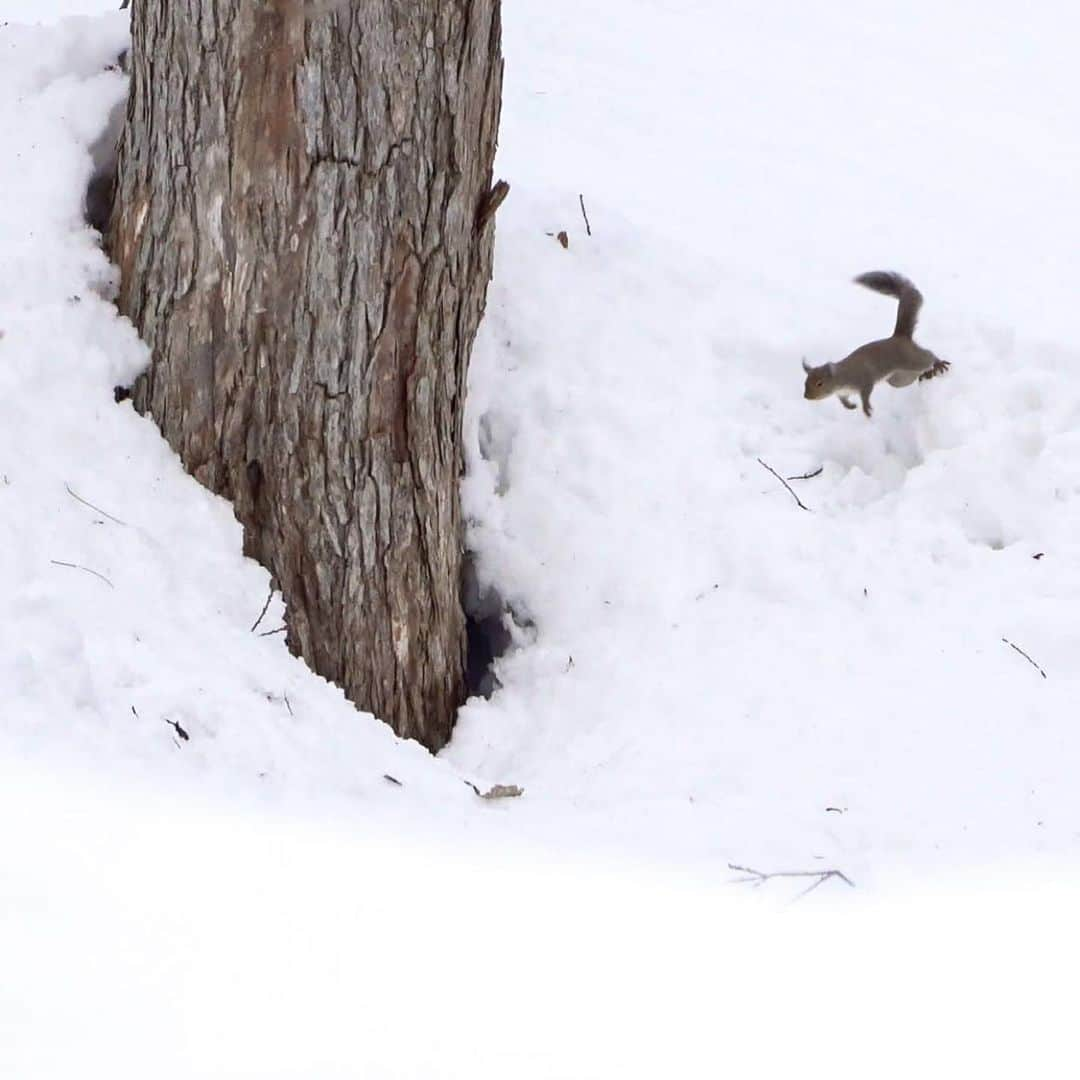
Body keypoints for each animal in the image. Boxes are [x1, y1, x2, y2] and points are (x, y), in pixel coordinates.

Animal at [803, 270, 946, 416]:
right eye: (805, 382)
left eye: (820, 383)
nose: (807, 397)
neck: (841, 377)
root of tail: (899, 337)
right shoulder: (843, 393)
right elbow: (844, 401)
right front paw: (850, 406)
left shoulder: (864, 381)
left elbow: (865, 395)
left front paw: (866, 408)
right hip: (899, 379)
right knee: (915, 374)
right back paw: (926, 374)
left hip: (910, 359)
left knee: (928, 356)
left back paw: (938, 364)